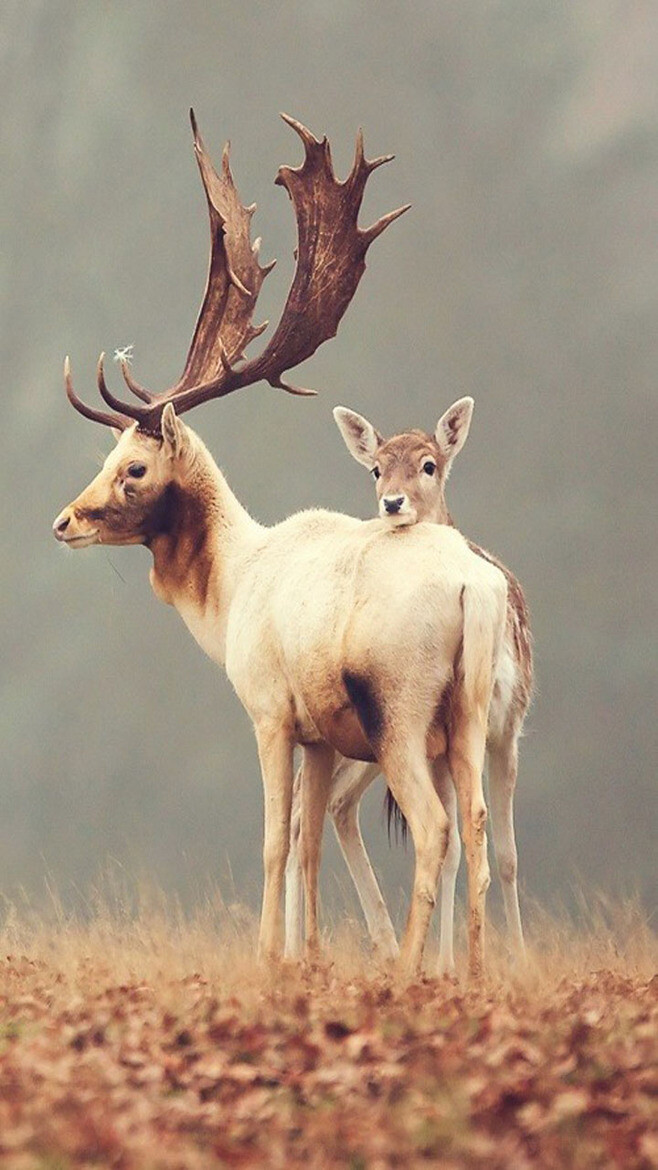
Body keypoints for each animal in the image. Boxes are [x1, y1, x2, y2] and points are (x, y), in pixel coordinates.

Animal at [51, 116, 503, 978]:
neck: (229, 594)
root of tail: (477, 588)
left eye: (133, 468)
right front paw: (309, 958)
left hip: (400, 709)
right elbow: (307, 845)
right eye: (105, 455)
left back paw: (407, 969)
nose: (64, 520)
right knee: (479, 828)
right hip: (468, 712)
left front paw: (268, 957)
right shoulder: (321, 731)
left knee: (433, 827)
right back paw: (473, 972)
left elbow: (271, 841)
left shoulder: (267, 708)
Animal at [284, 397, 529, 973]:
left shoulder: (508, 725)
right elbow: (466, 846)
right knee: (312, 807)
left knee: (328, 807)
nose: (392, 503)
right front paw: (449, 965)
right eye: (376, 468)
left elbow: (501, 853)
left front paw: (507, 960)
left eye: (429, 464)